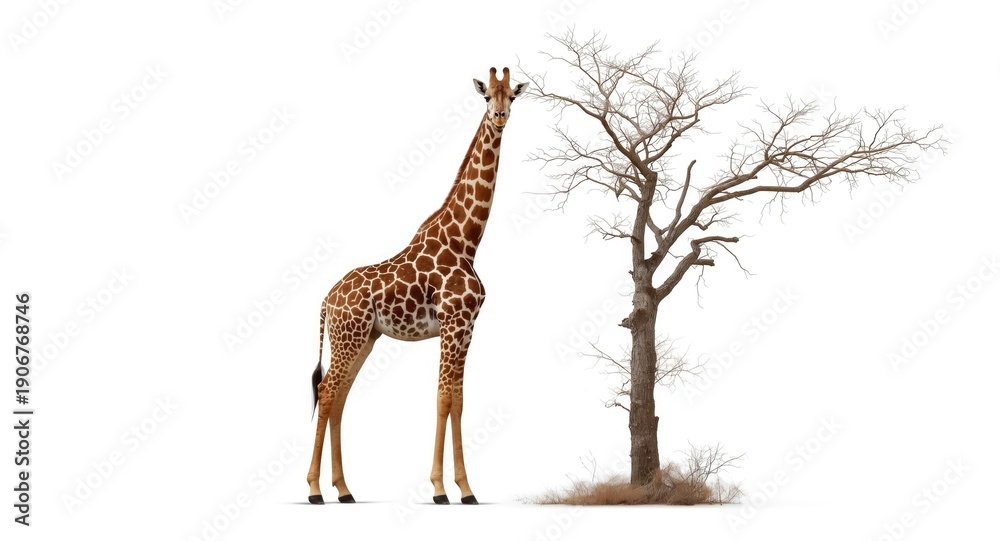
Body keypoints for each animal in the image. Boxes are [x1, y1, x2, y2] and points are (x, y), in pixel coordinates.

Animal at [306, 67, 528, 505]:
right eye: (486, 97)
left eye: (512, 95)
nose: (499, 117)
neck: (466, 241)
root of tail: (326, 300)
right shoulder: (454, 323)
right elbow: (443, 399)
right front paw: (442, 489)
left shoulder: (466, 328)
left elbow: (458, 400)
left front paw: (466, 490)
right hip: (348, 336)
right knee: (327, 392)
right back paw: (314, 490)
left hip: (363, 338)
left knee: (340, 396)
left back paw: (344, 489)